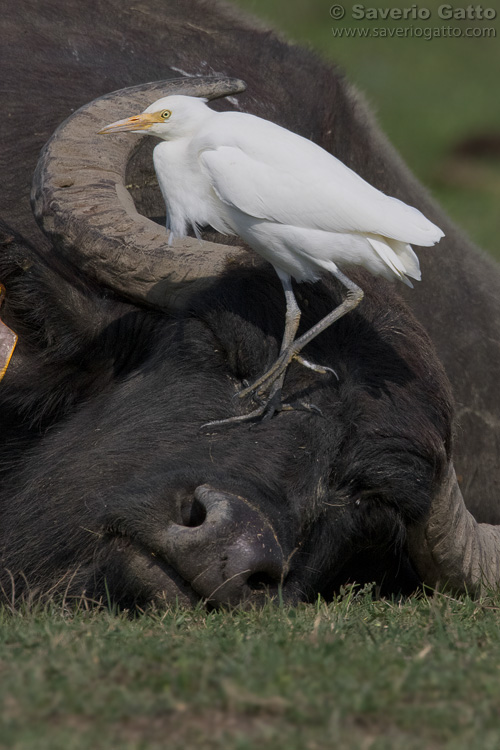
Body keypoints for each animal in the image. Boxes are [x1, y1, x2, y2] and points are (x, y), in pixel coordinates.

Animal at [0, 0, 500, 604]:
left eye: (365, 496)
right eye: (221, 350)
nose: (232, 546)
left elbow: (302, 310)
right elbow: (291, 312)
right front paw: (276, 384)